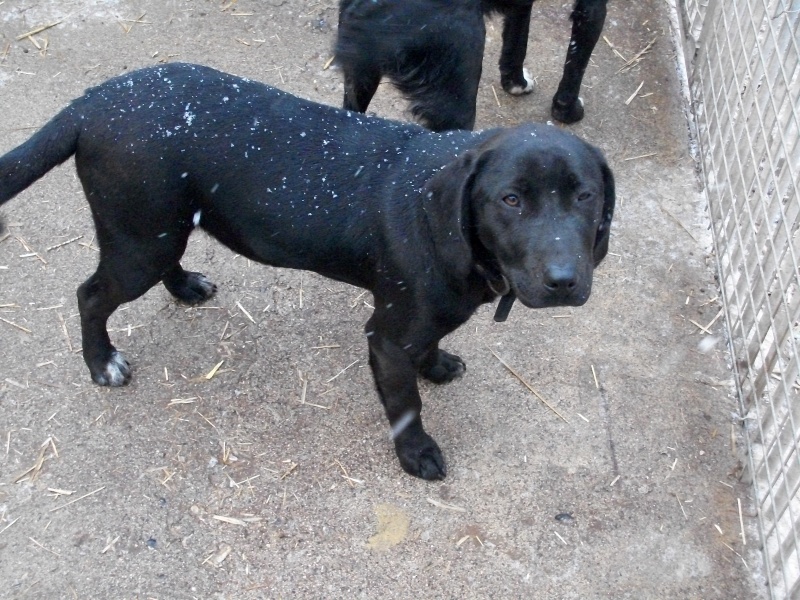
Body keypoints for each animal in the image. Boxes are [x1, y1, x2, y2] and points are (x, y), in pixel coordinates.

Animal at [0, 63, 616, 480]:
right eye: (511, 200)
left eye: (585, 196)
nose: (564, 280)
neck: (447, 224)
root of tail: (92, 101)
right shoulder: (386, 337)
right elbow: (405, 406)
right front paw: (416, 453)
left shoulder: (419, 322)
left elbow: (429, 347)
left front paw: (437, 365)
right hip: (137, 245)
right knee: (88, 296)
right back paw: (101, 362)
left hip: (161, 230)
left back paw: (185, 286)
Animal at [336, 0, 608, 130]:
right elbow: (576, 63)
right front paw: (569, 111)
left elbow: (516, 40)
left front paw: (515, 83)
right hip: (456, 106)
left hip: (359, 81)